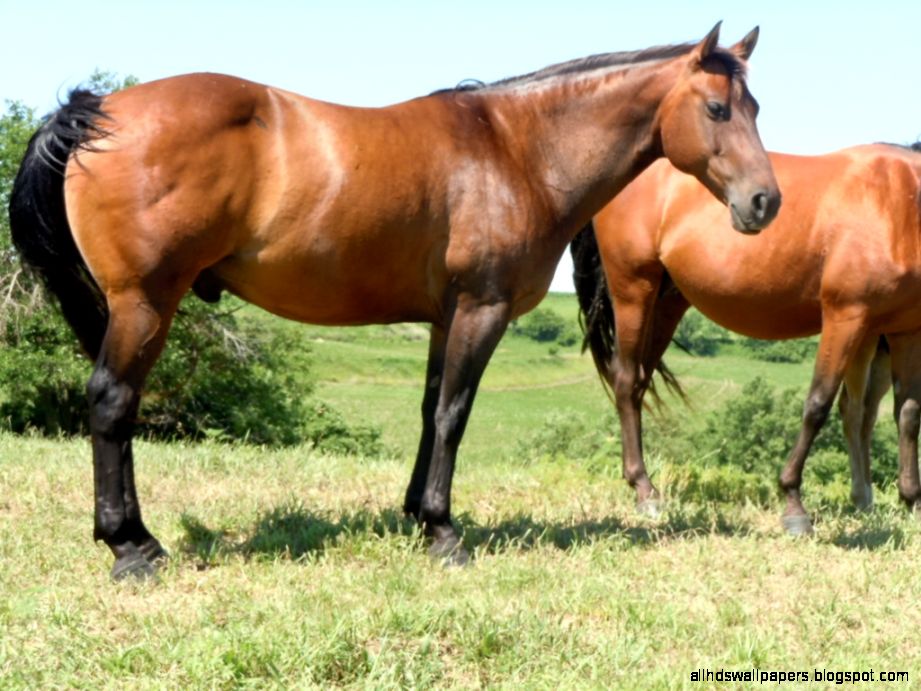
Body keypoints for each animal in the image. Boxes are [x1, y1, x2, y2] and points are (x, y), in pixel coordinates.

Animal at [9, 24, 779, 580]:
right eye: (717, 108)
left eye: (755, 107)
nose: (764, 203)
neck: (516, 150)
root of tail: (95, 109)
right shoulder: (481, 309)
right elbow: (452, 416)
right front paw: (443, 532)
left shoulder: (444, 317)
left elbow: (429, 410)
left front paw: (415, 514)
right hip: (144, 302)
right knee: (112, 404)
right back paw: (129, 548)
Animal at [571, 144, 921, 535]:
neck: (899, 202)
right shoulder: (846, 317)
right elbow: (818, 405)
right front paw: (793, 502)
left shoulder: (906, 331)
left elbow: (908, 413)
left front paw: (911, 499)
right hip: (633, 291)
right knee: (626, 379)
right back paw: (644, 490)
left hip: (665, 304)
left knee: (638, 384)